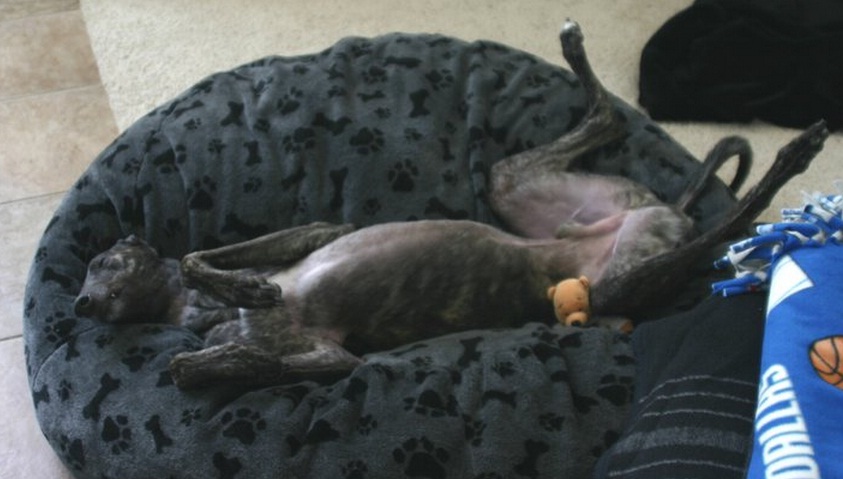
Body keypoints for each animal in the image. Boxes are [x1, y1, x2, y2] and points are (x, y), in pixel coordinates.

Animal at [74, 21, 828, 389]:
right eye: (86, 273)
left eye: (105, 262)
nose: (80, 304)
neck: (195, 315)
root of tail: (663, 210)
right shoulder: (328, 356)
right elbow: (208, 361)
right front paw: (216, 346)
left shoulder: (317, 241)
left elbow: (205, 260)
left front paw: (246, 291)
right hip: (527, 190)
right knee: (617, 125)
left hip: (621, 271)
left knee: (726, 218)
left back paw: (797, 156)